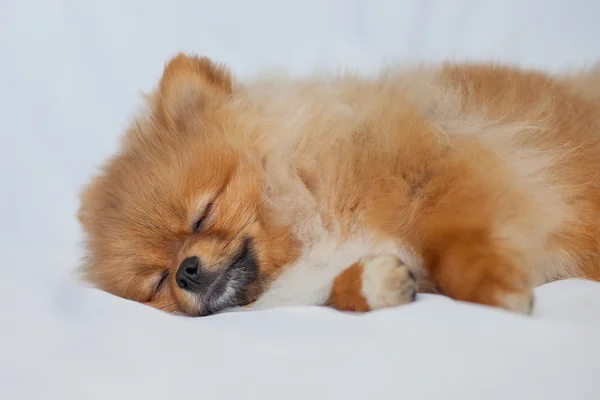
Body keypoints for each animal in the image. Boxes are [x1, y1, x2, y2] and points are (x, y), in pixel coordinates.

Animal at [78, 54, 600, 316]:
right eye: (158, 282)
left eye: (203, 213)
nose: (186, 270)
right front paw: (374, 283)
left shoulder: (447, 171)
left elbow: (454, 249)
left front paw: (496, 287)